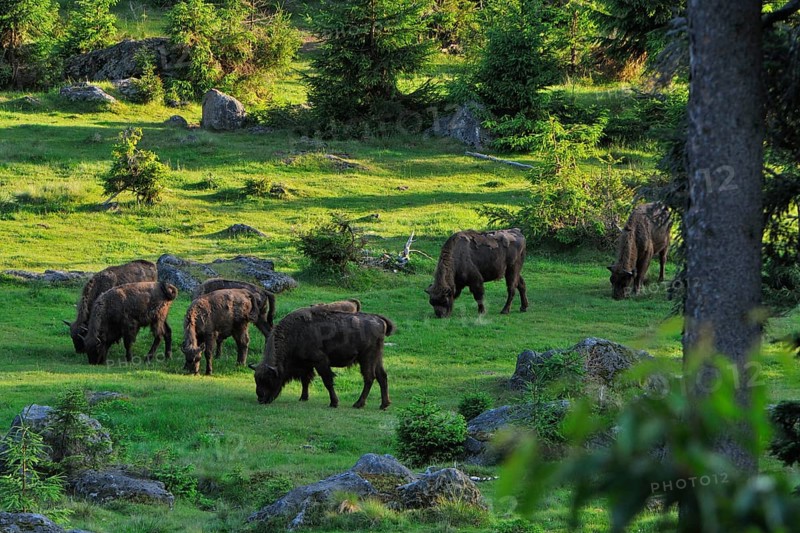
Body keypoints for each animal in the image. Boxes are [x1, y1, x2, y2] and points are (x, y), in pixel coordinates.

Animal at [251, 308, 393, 409]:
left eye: (268, 379)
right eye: (256, 379)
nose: (261, 399)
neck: (295, 334)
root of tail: (378, 319)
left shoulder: (321, 362)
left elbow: (327, 382)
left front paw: (334, 403)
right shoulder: (306, 365)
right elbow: (305, 380)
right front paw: (303, 398)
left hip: (366, 358)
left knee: (369, 378)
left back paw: (358, 404)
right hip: (377, 358)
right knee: (382, 376)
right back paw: (384, 405)